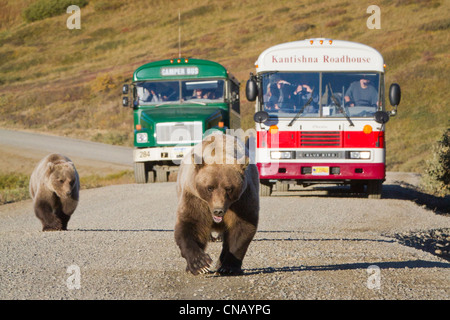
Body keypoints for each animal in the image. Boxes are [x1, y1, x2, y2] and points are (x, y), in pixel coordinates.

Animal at [176, 133, 260, 276]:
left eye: (229, 188)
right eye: (210, 187)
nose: (218, 211)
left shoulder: (242, 199)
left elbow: (242, 228)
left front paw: (228, 267)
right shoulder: (195, 197)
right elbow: (191, 224)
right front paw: (200, 264)